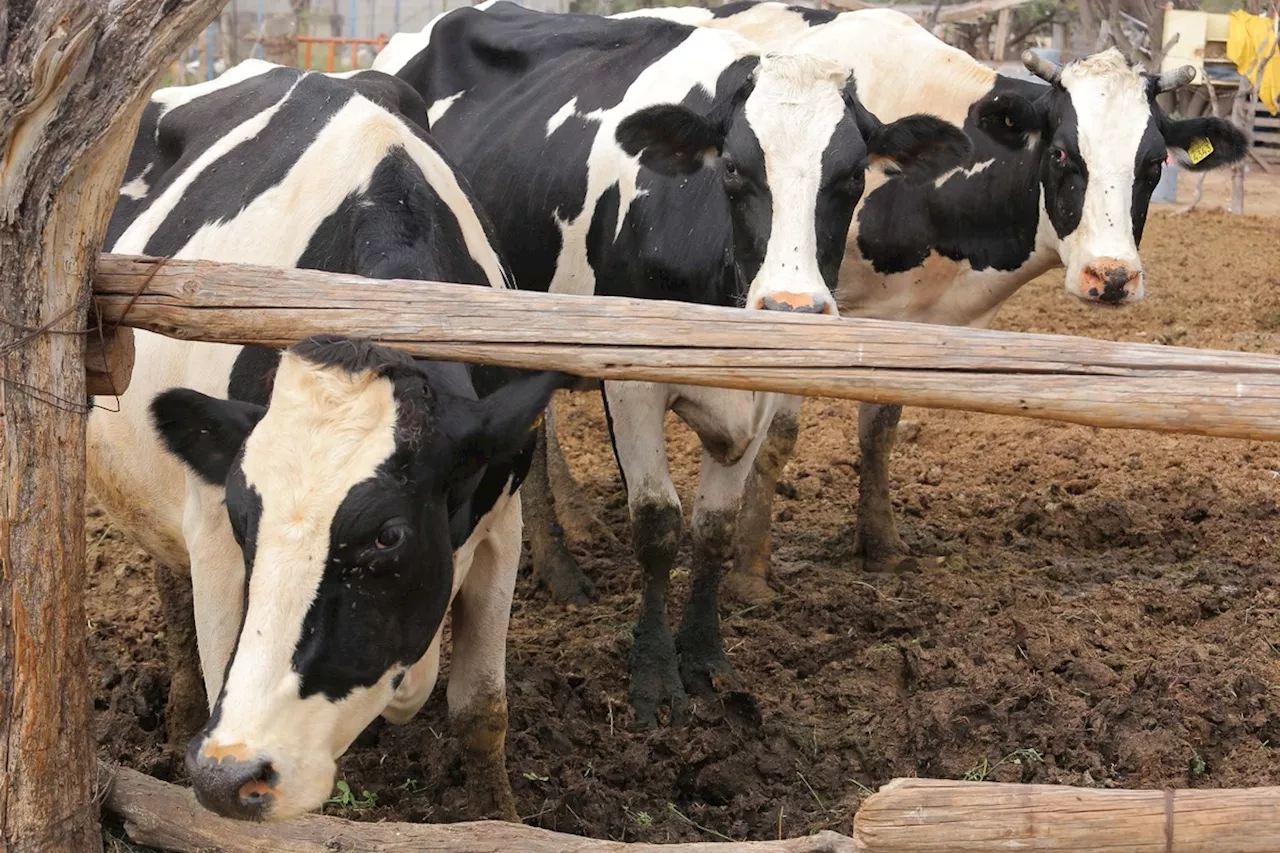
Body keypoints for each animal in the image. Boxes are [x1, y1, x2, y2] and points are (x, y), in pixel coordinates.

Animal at [87, 59, 573, 819]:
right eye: (243, 515)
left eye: (388, 536)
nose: (230, 775)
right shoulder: (212, 527)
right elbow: (224, 658)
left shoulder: (500, 515)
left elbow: (480, 709)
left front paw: (500, 817)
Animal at [376, 1, 967, 722]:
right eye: (734, 169)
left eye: (852, 175)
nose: (791, 308)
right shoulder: (632, 383)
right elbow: (657, 522)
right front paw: (655, 673)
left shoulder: (762, 394)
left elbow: (714, 528)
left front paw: (706, 657)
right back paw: (562, 573)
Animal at [524, 6, 1244, 596]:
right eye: (1065, 154)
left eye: (1152, 165)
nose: (1111, 276)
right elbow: (780, 436)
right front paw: (751, 570)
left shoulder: (906, 321)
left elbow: (880, 428)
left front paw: (881, 543)